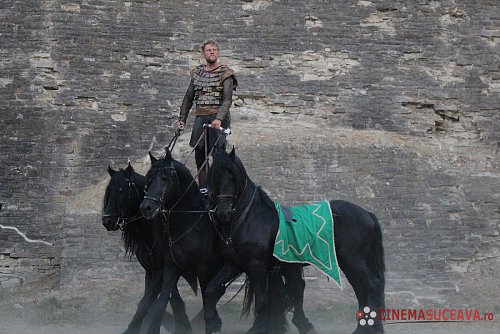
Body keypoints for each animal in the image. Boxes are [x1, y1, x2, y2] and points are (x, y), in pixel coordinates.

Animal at [101, 163, 195, 332]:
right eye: (108, 192)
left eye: (121, 191)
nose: (107, 221)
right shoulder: (152, 270)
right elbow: (154, 298)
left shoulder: (163, 269)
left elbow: (164, 299)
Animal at [205, 149, 384, 334]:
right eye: (214, 177)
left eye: (232, 177)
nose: (223, 212)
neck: (250, 218)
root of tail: (367, 214)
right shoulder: (234, 264)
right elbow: (210, 289)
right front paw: (212, 323)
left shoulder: (257, 266)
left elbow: (261, 301)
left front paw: (259, 328)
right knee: (361, 289)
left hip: (352, 260)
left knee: (371, 286)